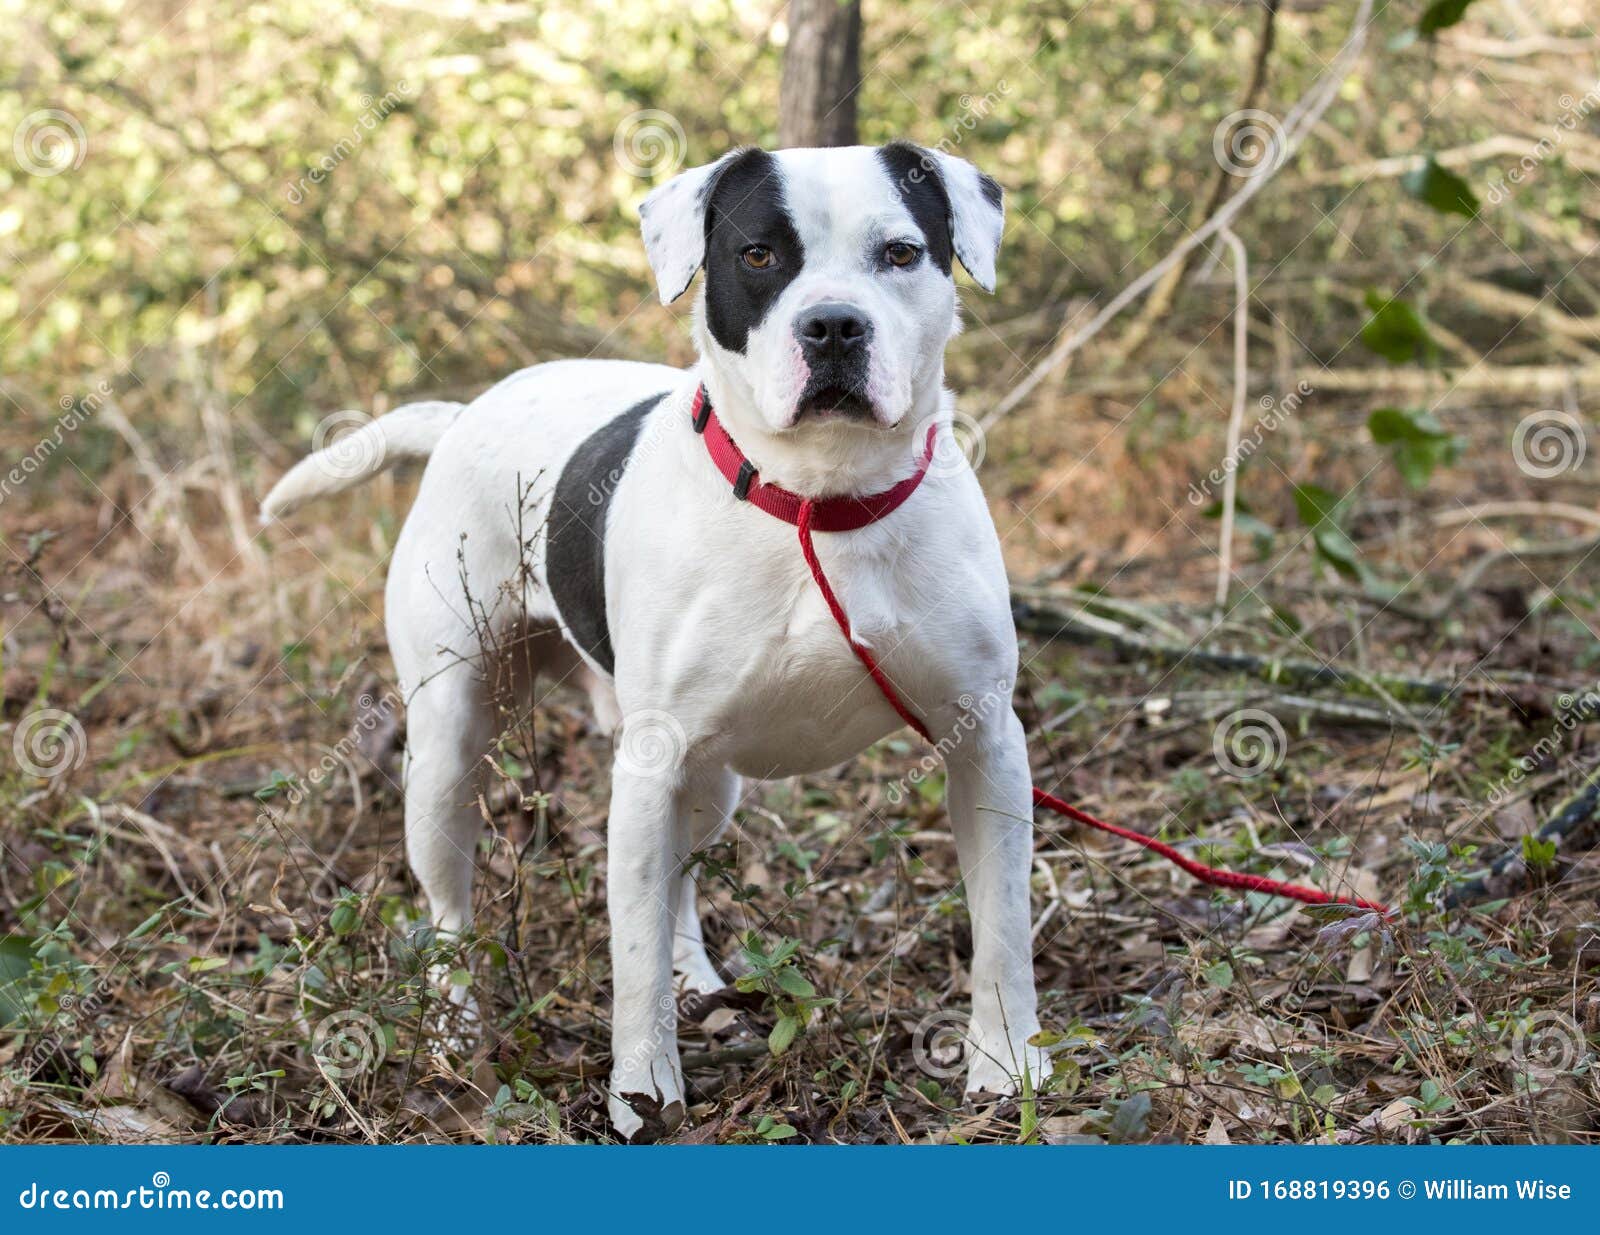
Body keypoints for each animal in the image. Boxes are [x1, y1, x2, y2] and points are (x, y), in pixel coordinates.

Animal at [260, 144, 1043, 1139]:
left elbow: (1003, 925)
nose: (833, 326)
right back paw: (453, 1025)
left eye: (901, 253)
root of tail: (466, 412)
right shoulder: (644, 768)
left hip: (709, 781)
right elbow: (627, 964)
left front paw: (1008, 1064)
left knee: (678, 881)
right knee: (449, 905)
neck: (819, 500)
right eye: (758, 255)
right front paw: (644, 1097)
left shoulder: (985, 741)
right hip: (448, 751)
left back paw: (697, 980)